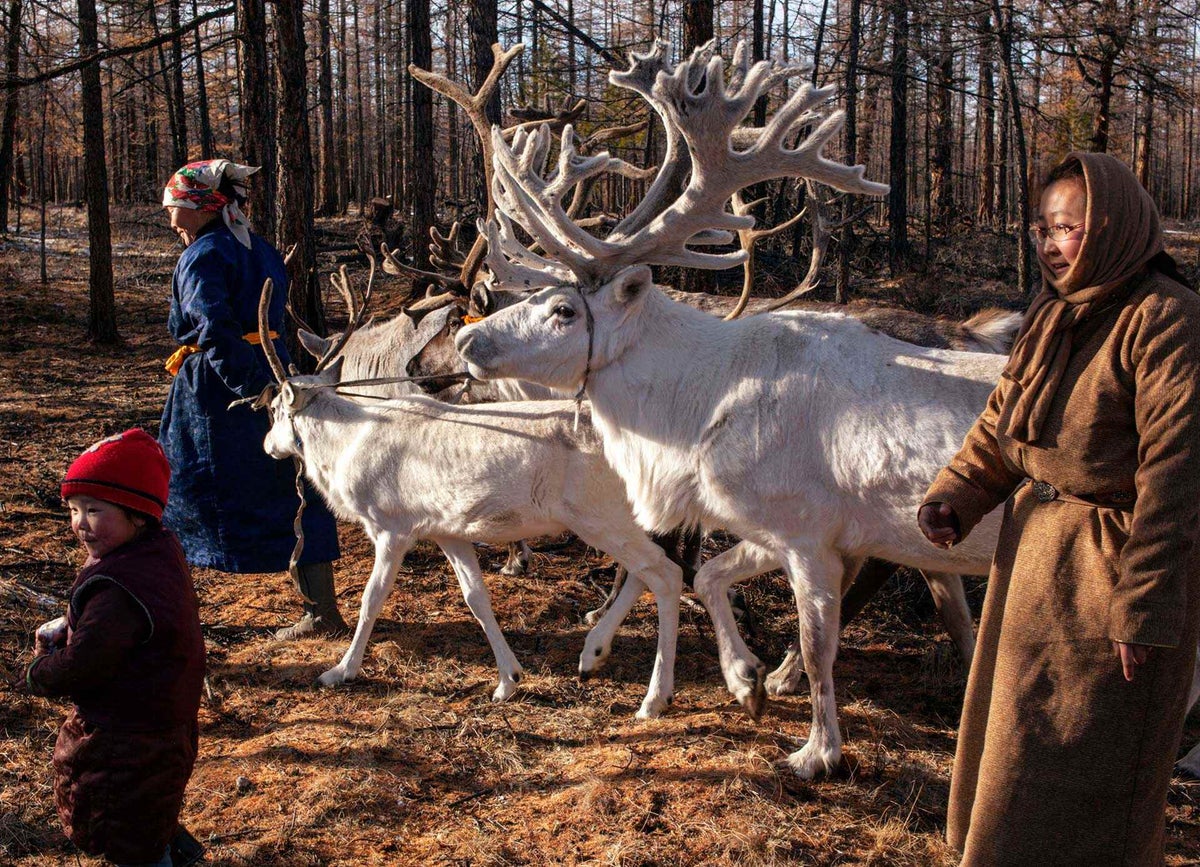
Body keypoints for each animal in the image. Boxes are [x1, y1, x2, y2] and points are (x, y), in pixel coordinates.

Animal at [455, 39, 1016, 778]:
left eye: (563, 309)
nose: (466, 339)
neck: (694, 410)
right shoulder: (770, 526)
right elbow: (709, 574)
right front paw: (744, 679)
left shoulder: (810, 535)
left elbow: (816, 643)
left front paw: (817, 750)